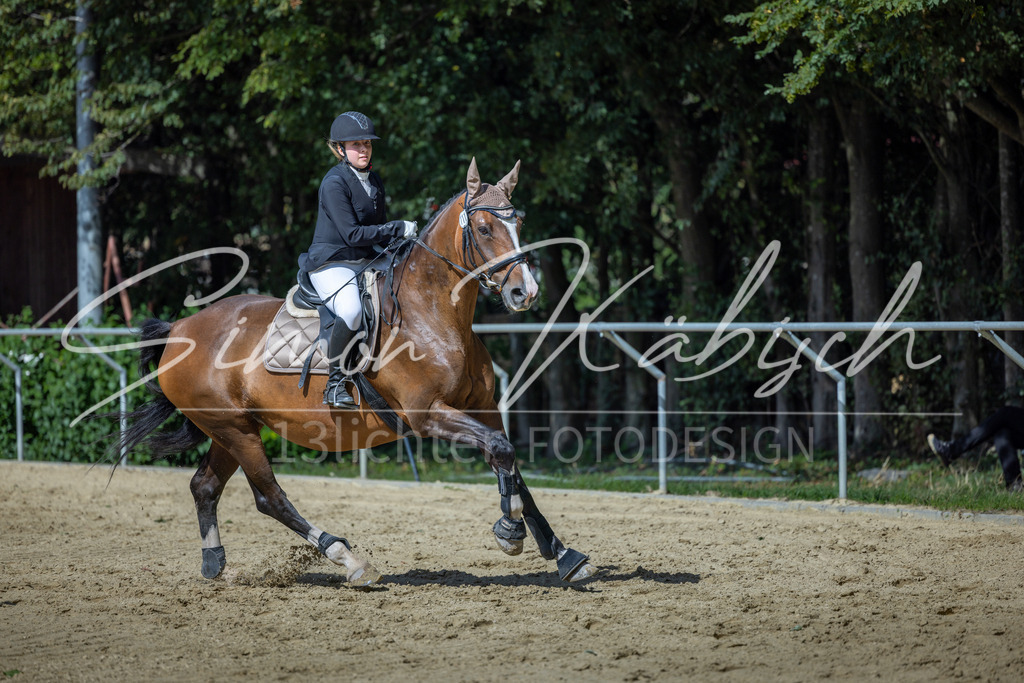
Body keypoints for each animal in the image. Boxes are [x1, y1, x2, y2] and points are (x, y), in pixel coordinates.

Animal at [116, 158, 597, 587]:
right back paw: (348, 559)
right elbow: (501, 451)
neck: (434, 315)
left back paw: (215, 564)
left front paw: (562, 554)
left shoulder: (482, 408)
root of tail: (180, 328)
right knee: (268, 496)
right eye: (483, 229)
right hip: (235, 430)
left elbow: (510, 461)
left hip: (230, 429)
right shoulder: (427, 415)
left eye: (519, 224)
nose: (524, 292)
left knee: (205, 486)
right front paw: (510, 530)